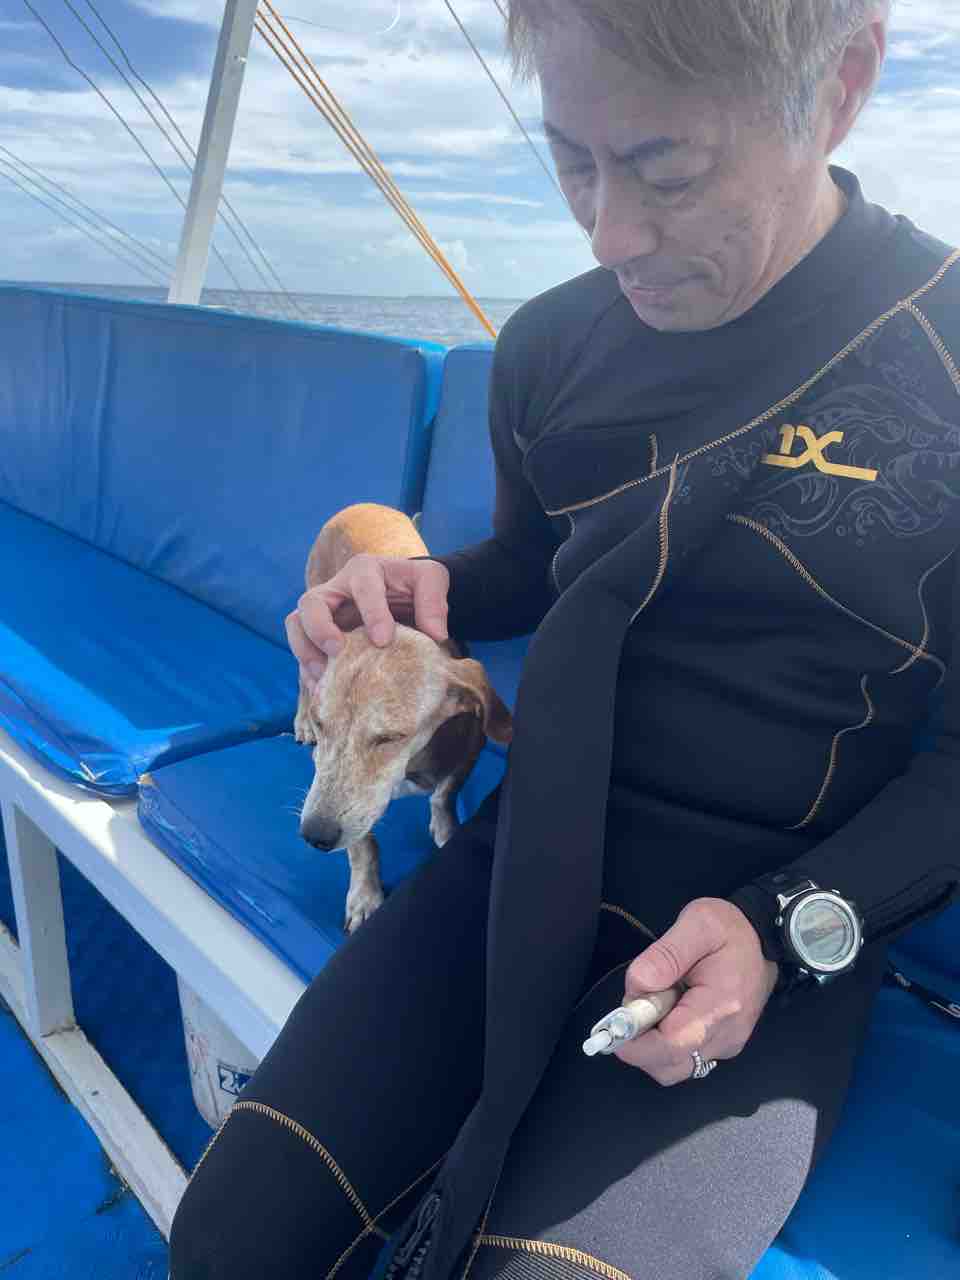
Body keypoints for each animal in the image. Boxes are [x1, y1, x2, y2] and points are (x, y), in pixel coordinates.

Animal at [294, 503, 512, 933]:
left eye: (390, 738)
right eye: (325, 725)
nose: (315, 835)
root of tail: (360, 505)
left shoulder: (472, 746)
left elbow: (445, 793)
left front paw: (445, 828)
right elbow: (363, 843)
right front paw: (365, 895)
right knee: (302, 674)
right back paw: (299, 719)